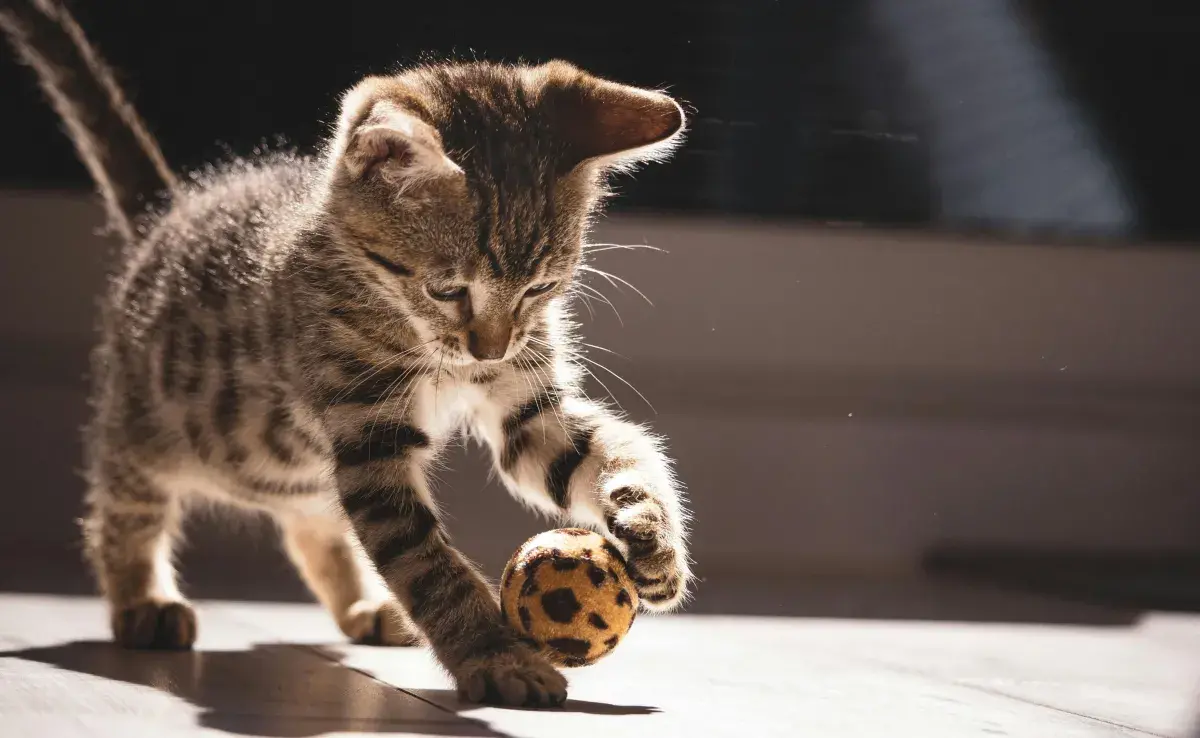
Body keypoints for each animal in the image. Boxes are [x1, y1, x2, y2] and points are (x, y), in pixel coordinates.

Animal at [0, 0, 696, 705]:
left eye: (540, 288)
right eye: (448, 290)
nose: (490, 349)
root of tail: (168, 216)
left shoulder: (527, 408)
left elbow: (605, 449)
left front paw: (652, 535)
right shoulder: (369, 436)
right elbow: (424, 562)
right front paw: (497, 656)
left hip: (300, 471)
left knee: (312, 523)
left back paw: (364, 607)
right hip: (146, 429)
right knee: (121, 508)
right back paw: (142, 599)